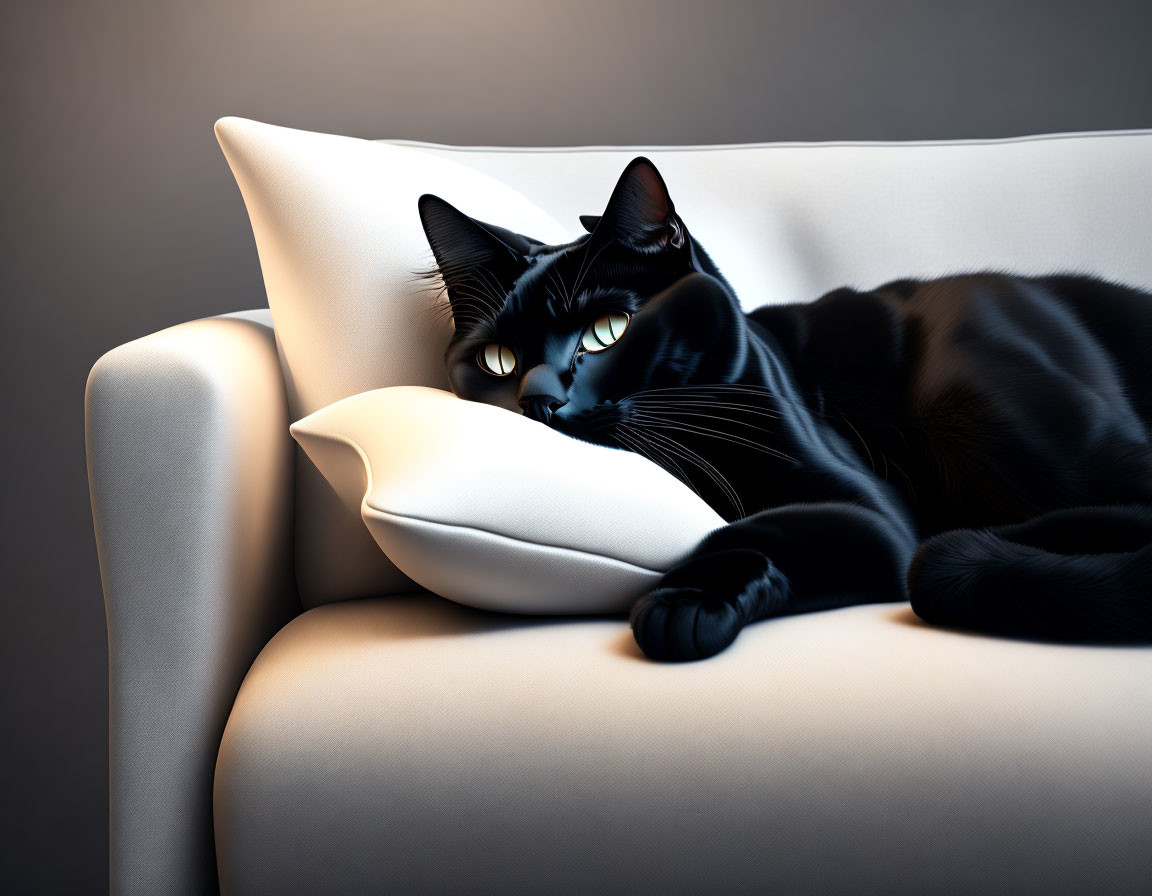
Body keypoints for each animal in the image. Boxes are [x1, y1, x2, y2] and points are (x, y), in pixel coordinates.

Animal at [419, 155, 1152, 654]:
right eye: (497, 362)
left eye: (608, 330)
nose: (538, 398)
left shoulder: (869, 511)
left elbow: (760, 527)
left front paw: (681, 603)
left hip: (975, 398)